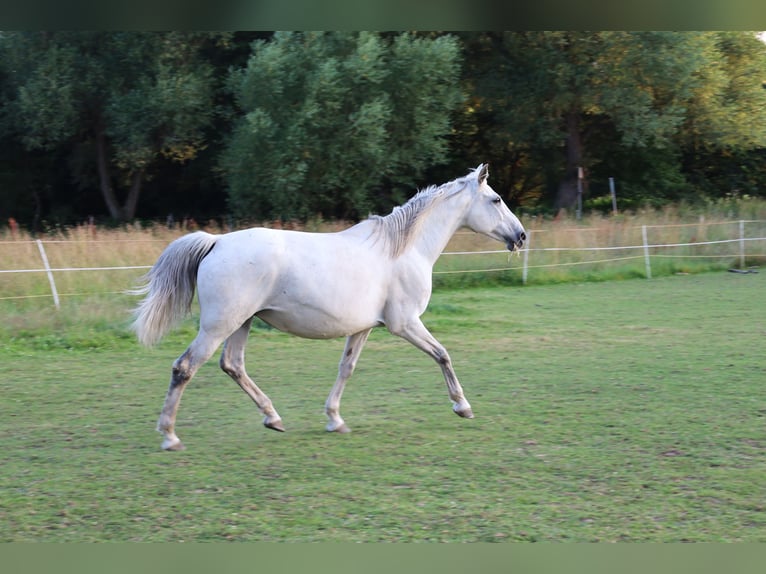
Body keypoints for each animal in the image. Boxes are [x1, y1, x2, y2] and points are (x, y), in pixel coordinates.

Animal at [134, 164, 528, 452]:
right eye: (496, 200)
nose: (521, 236)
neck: (403, 250)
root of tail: (216, 242)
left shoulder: (364, 327)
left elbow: (346, 369)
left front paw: (335, 419)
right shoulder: (405, 323)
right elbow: (443, 354)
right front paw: (463, 406)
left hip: (241, 323)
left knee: (232, 365)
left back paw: (273, 418)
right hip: (219, 325)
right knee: (185, 367)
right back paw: (170, 436)